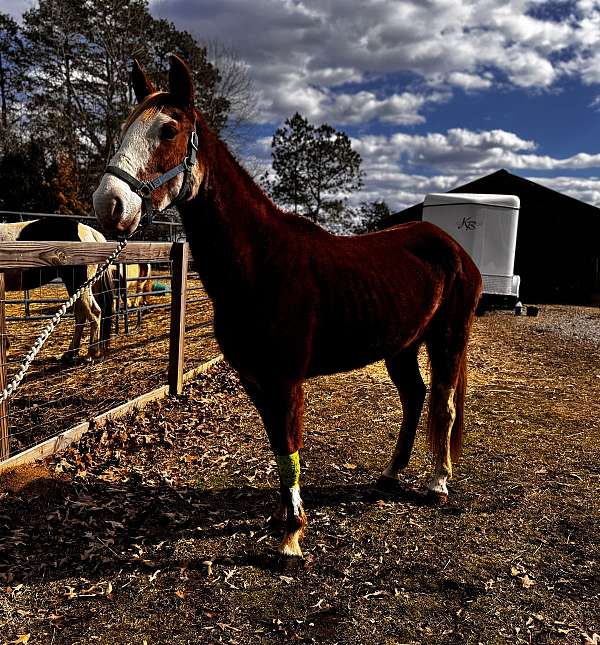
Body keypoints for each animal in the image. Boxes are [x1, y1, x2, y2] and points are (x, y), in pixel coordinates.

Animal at [0, 219, 113, 362]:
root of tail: (90, 232)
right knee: (81, 314)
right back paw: (71, 353)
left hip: (78, 283)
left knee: (94, 312)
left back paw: (92, 353)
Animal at [96, 55, 486, 560]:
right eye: (126, 127)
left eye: (168, 129)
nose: (109, 204)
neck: (262, 262)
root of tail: (454, 248)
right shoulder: (255, 379)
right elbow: (279, 448)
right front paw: (283, 519)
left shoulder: (286, 380)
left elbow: (290, 441)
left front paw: (292, 537)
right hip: (401, 345)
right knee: (415, 397)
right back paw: (390, 474)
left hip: (448, 337)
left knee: (444, 404)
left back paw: (438, 483)